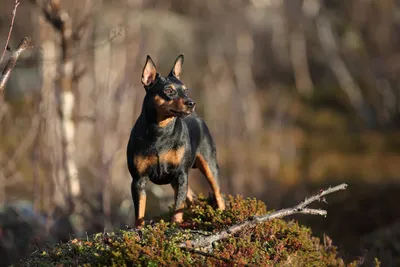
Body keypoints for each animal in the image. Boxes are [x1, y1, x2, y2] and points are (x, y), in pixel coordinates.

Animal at [125, 55, 225, 230]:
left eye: (185, 90)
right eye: (169, 91)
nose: (191, 103)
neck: (160, 131)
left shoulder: (180, 174)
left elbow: (178, 205)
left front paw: (175, 225)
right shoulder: (138, 180)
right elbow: (140, 211)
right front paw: (139, 230)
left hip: (209, 166)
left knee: (218, 194)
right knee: (191, 197)